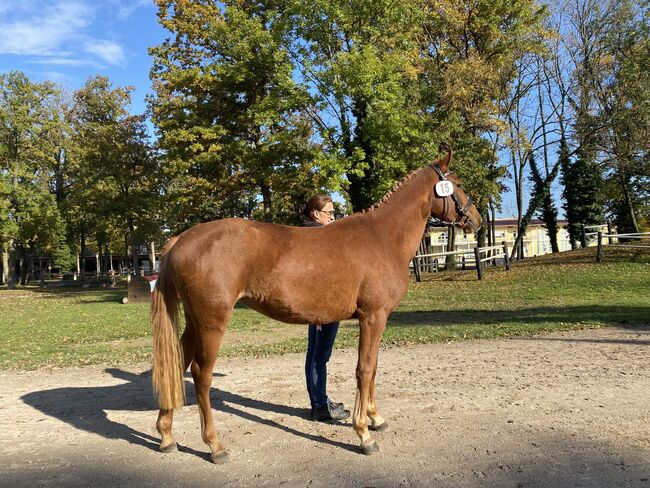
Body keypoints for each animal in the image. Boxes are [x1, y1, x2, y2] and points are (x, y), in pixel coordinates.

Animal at [151, 149, 476, 462]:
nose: (476, 218)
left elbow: (372, 368)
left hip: (194, 322)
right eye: (458, 184)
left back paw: (167, 436)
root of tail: (181, 239)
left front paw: (375, 418)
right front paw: (364, 434)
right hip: (211, 323)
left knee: (176, 364)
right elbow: (364, 369)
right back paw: (215, 445)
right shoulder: (373, 316)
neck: (384, 236)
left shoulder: (376, 319)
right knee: (200, 374)